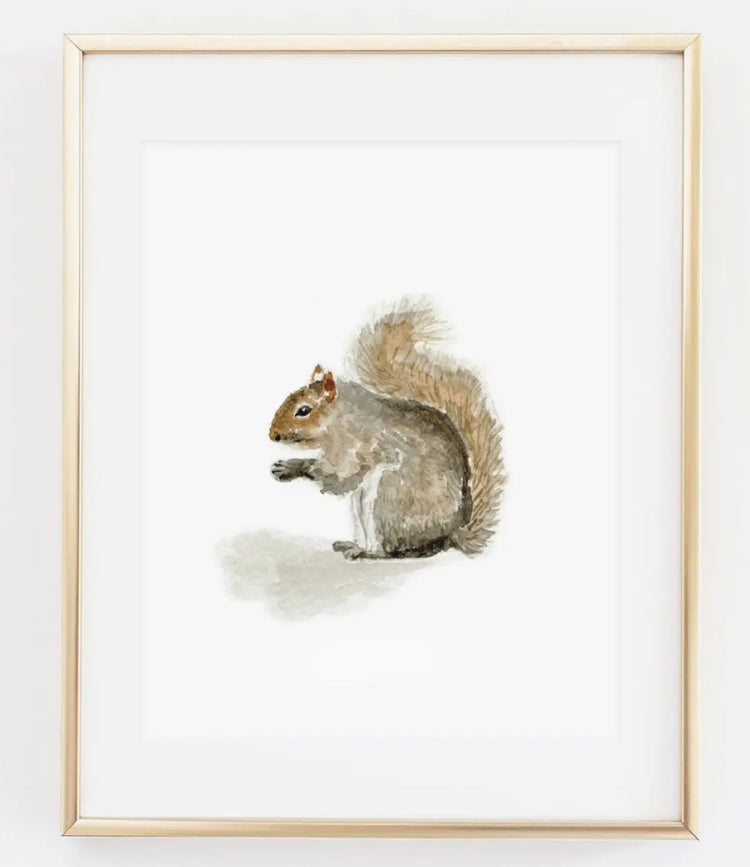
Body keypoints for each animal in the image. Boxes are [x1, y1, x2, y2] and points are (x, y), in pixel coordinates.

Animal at [268, 302, 505, 560]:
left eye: (303, 410)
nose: (272, 434)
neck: (340, 419)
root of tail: (450, 533)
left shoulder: (355, 450)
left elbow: (337, 479)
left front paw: (292, 467)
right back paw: (352, 545)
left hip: (388, 497)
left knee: (389, 551)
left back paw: (362, 552)